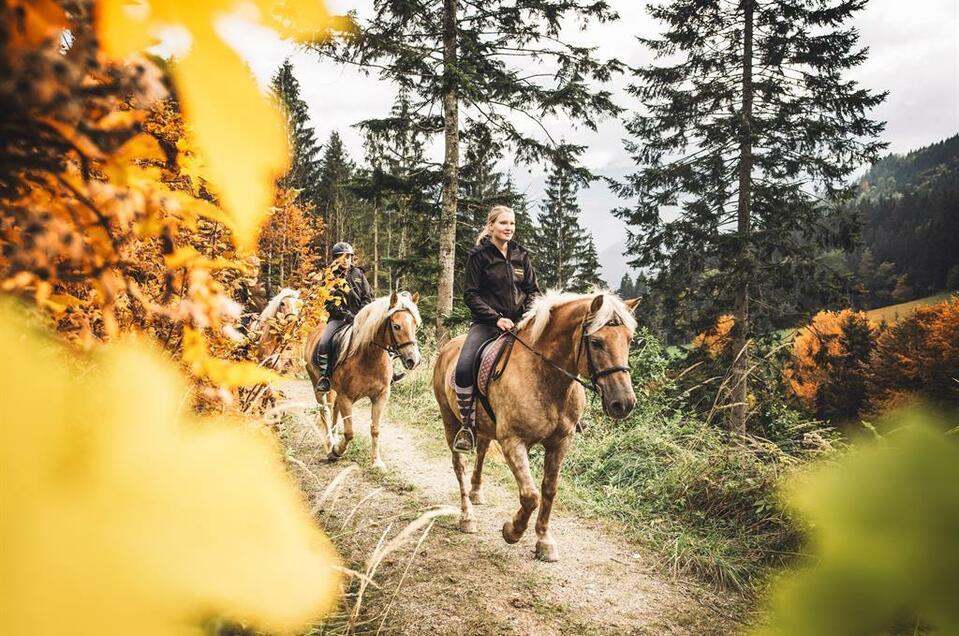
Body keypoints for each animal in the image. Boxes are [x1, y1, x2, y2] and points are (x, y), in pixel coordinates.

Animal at [306, 290, 422, 470]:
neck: (368, 357)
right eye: (396, 326)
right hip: (318, 385)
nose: (413, 360)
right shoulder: (346, 397)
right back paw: (330, 441)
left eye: (415, 324)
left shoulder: (380, 396)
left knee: (334, 410)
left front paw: (377, 462)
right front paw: (337, 451)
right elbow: (349, 432)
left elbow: (375, 429)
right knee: (325, 410)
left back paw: (334, 438)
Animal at [434, 290, 636, 560]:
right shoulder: (513, 442)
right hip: (451, 422)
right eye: (596, 342)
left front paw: (544, 541)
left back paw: (477, 493)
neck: (545, 376)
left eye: (629, 340)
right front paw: (512, 531)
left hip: (484, 427)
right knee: (460, 465)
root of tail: (448, 347)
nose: (623, 403)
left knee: (482, 452)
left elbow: (549, 490)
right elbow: (531, 496)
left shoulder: (561, 443)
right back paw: (467, 517)